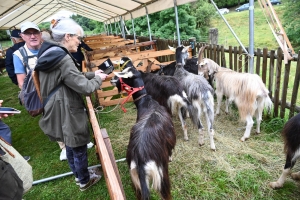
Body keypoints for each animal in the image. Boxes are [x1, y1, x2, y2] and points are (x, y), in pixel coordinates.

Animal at [110, 65, 176, 199]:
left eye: (124, 74)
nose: (112, 79)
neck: (146, 102)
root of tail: (141, 162)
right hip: (162, 174)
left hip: (137, 183)